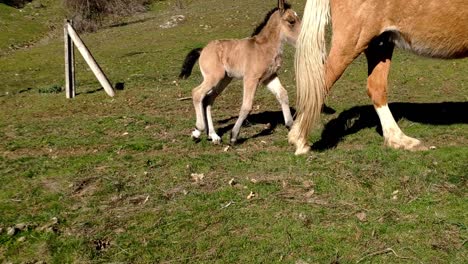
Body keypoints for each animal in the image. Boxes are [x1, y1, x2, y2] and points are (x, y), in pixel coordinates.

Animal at [179, 0, 300, 144]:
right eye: (291, 21)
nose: (302, 38)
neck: (264, 48)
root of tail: (202, 50)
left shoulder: (269, 77)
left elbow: (283, 95)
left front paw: (290, 126)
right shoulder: (251, 78)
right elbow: (247, 106)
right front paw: (233, 136)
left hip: (224, 80)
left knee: (208, 99)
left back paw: (213, 136)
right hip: (214, 77)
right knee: (197, 93)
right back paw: (198, 130)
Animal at [290, 0, 466, 155]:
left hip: (380, 43)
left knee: (376, 88)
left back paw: (399, 140)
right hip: (352, 41)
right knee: (318, 86)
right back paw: (299, 140)